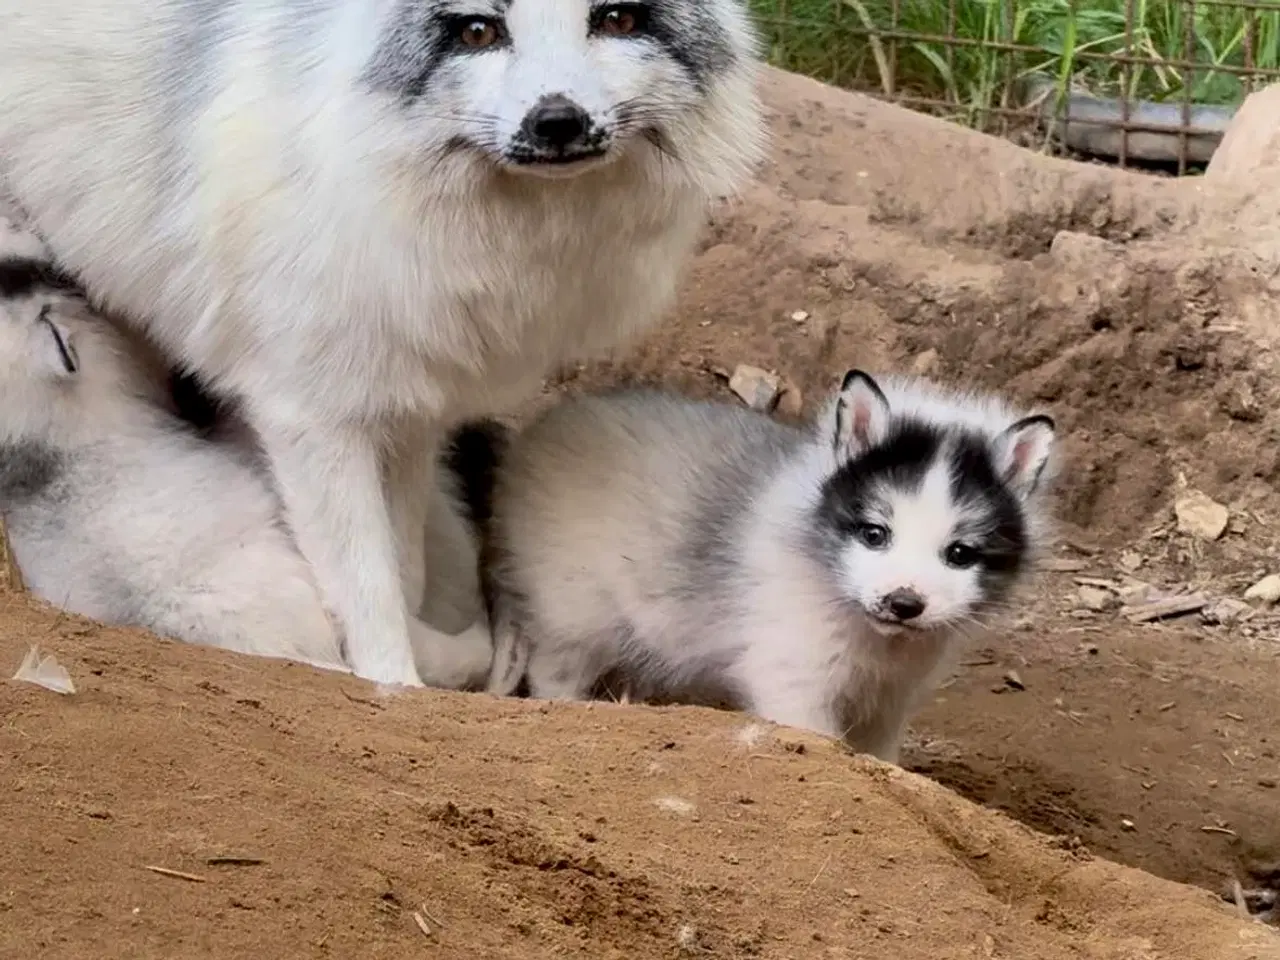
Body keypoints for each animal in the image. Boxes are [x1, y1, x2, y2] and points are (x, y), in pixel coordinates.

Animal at [0, 0, 757, 691]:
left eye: (618, 20)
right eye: (478, 30)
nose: (557, 122)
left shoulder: (411, 412)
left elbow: (405, 568)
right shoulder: (309, 417)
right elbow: (367, 588)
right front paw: (398, 686)